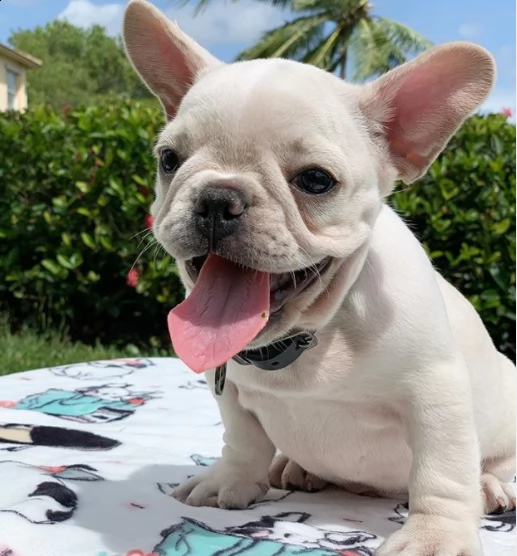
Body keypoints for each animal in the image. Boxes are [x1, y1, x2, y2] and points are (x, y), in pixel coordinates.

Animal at [123, 2, 512, 552]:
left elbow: (442, 469)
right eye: (168, 160)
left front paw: (437, 535)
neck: (312, 336)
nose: (218, 198)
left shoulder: (438, 394)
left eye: (315, 180)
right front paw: (230, 482)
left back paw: (491, 485)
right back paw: (295, 468)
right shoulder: (231, 393)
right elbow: (241, 440)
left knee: (492, 462)